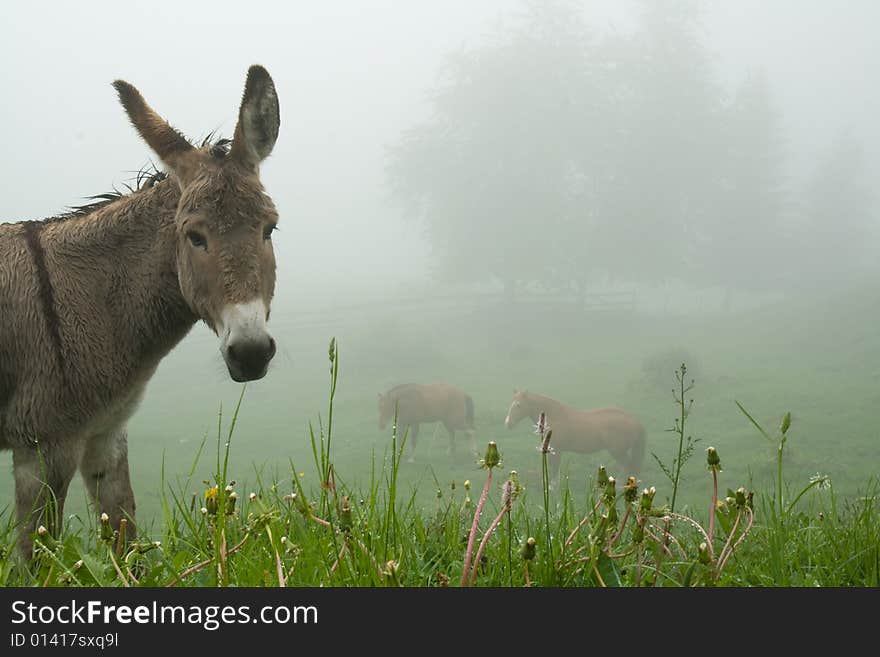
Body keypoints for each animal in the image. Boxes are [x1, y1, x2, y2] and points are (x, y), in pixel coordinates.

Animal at [0, 65, 280, 552]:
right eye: (194, 236)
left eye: (270, 228)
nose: (250, 353)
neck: (89, 297)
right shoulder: (43, 446)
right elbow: (35, 557)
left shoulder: (106, 434)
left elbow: (126, 541)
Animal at [502, 390, 648, 482]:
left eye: (518, 405)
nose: (508, 423)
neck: (556, 416)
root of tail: (635, 421)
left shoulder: (556, 450)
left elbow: (554, 470)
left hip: (617, 452)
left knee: (627, 465)